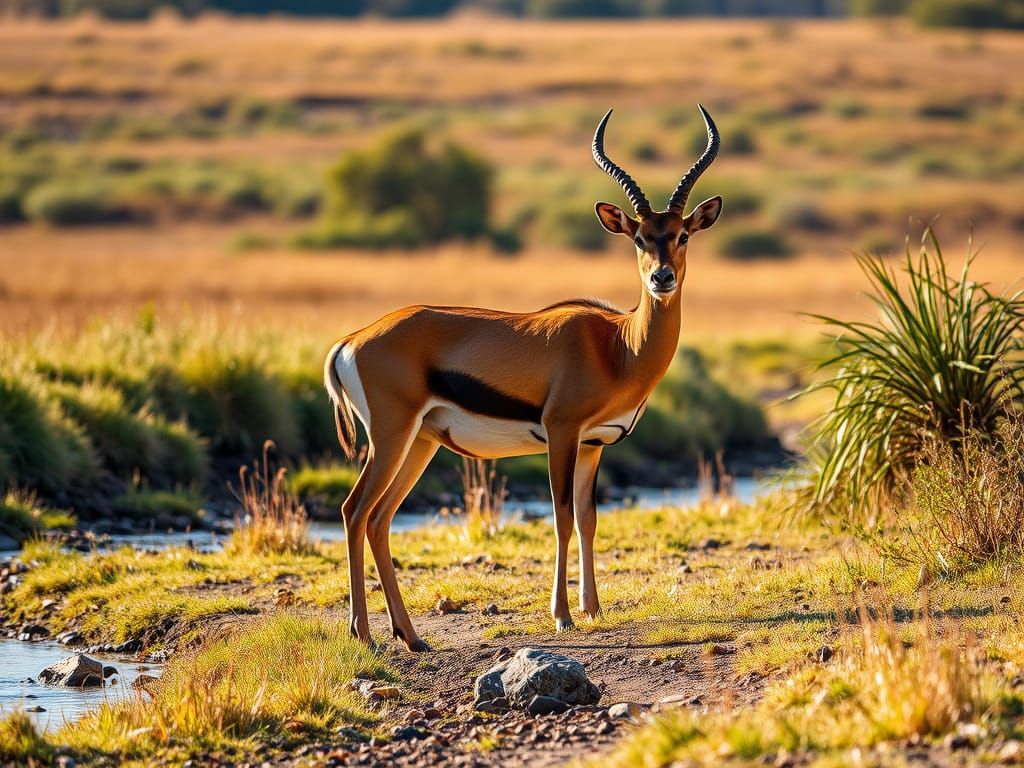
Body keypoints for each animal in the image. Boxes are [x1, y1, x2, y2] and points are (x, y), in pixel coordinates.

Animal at [325, 106, 722, 651]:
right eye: (640, 238)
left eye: (682, 234)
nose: (662, 278)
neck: (617, 346)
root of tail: (351, 339)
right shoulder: (562, 432)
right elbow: (561, 517)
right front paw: (563, 616)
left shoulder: (594, 444)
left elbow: (589, 519)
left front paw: (593, 608)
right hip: (391, 436)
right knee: (354, 510)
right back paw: (363, 634)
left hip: (420, 442)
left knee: (380, 518)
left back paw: (412, 636)